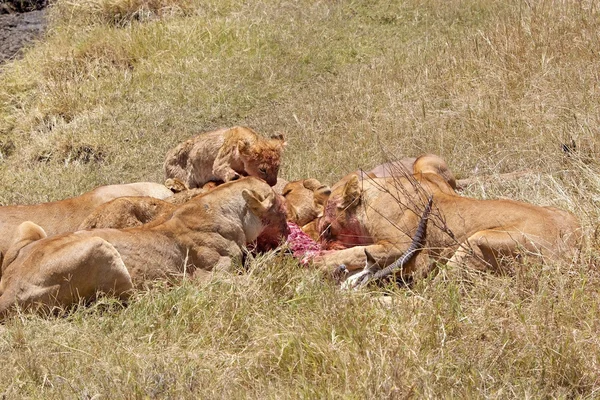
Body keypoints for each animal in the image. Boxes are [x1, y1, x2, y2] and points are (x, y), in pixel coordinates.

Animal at [0, 177, 290, 318]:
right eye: (282, 209)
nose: (288, 232)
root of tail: (7, 291)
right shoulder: (211, 280)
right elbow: (258, 278)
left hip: (30, 227)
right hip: (99, 245)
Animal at [314, 154, 580, 282]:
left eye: (326, 228)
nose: (318, 238)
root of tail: (569, 254)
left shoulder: (404, 247)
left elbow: (355, 252)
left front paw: (315, 261)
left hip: (476, 241)